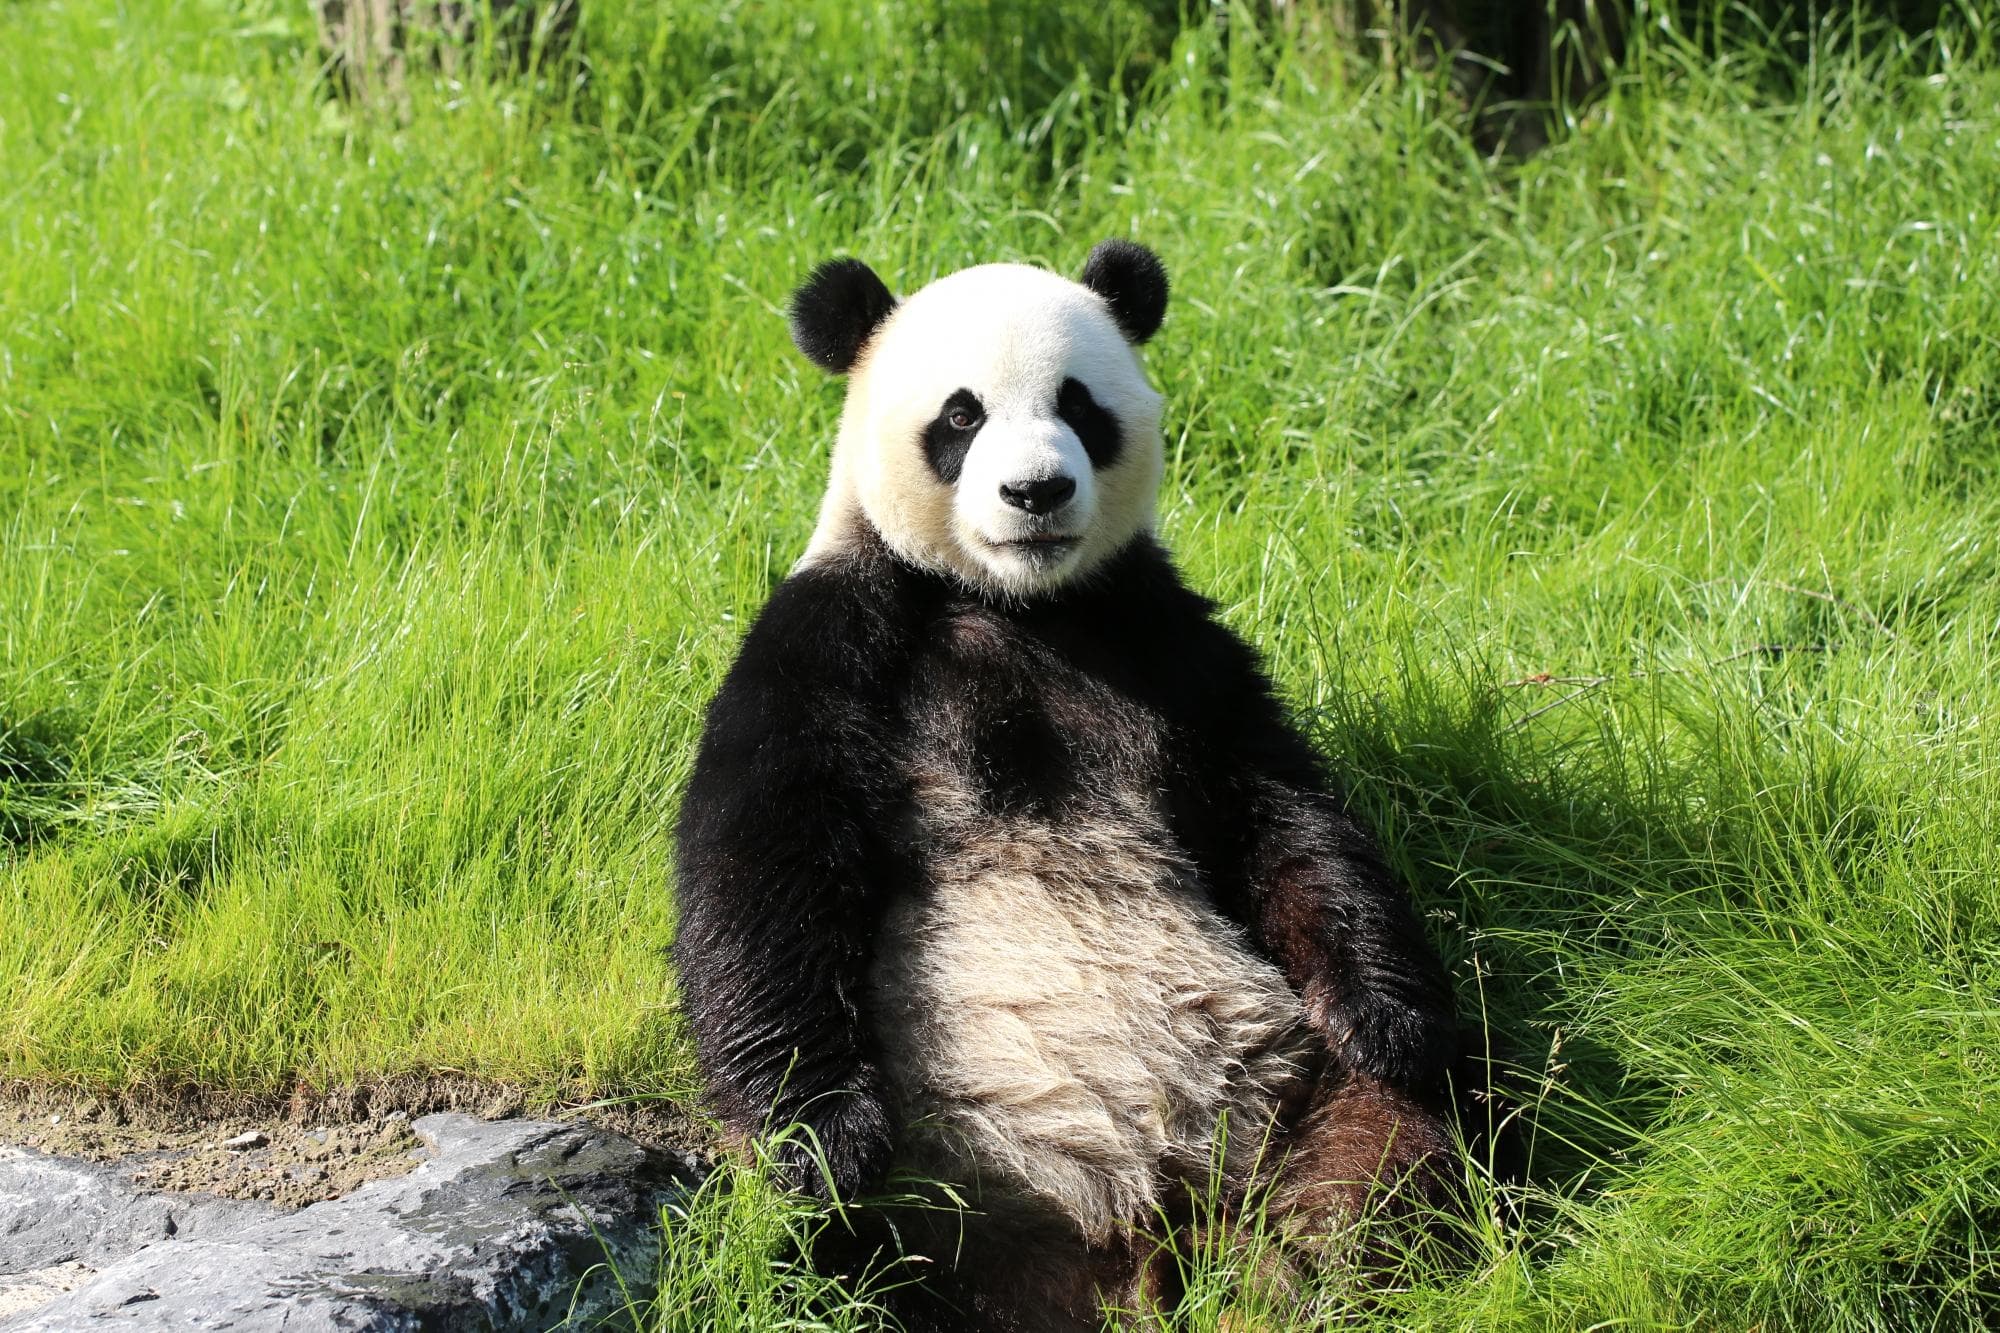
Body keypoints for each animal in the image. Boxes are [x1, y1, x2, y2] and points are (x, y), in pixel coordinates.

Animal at [673, 241, 1468, 1330]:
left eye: (1079, 405)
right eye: (960, 416)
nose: (1036, 492)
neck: (1016, 602)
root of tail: (1150, 1238)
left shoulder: (1156, 632)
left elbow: (1278, 810)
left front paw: (1389, 1014)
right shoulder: (834, 634)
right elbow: (766, 856)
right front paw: (826, 1136)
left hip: (1295, 1083)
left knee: (1390, 1141)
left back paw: (1318, 1274)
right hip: (945, 1195)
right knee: (823, 1256)